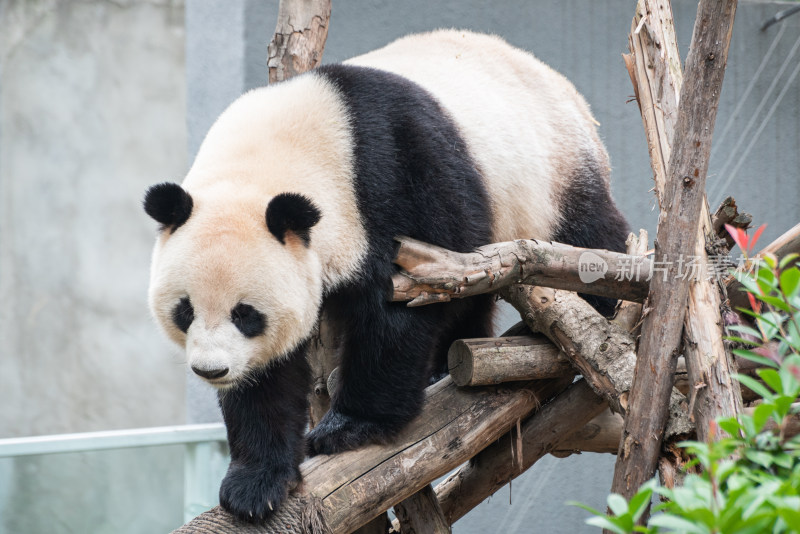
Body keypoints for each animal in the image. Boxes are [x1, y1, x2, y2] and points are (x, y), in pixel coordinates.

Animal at [145, 30, 632, 524]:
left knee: (587, 233)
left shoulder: (396, 175)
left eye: (246, 314)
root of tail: (557, 81)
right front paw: (255, 484)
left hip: (548, 171)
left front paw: (349, 426)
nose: (211, 370)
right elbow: (268, 373)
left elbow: (400, 305)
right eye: (185, 311)